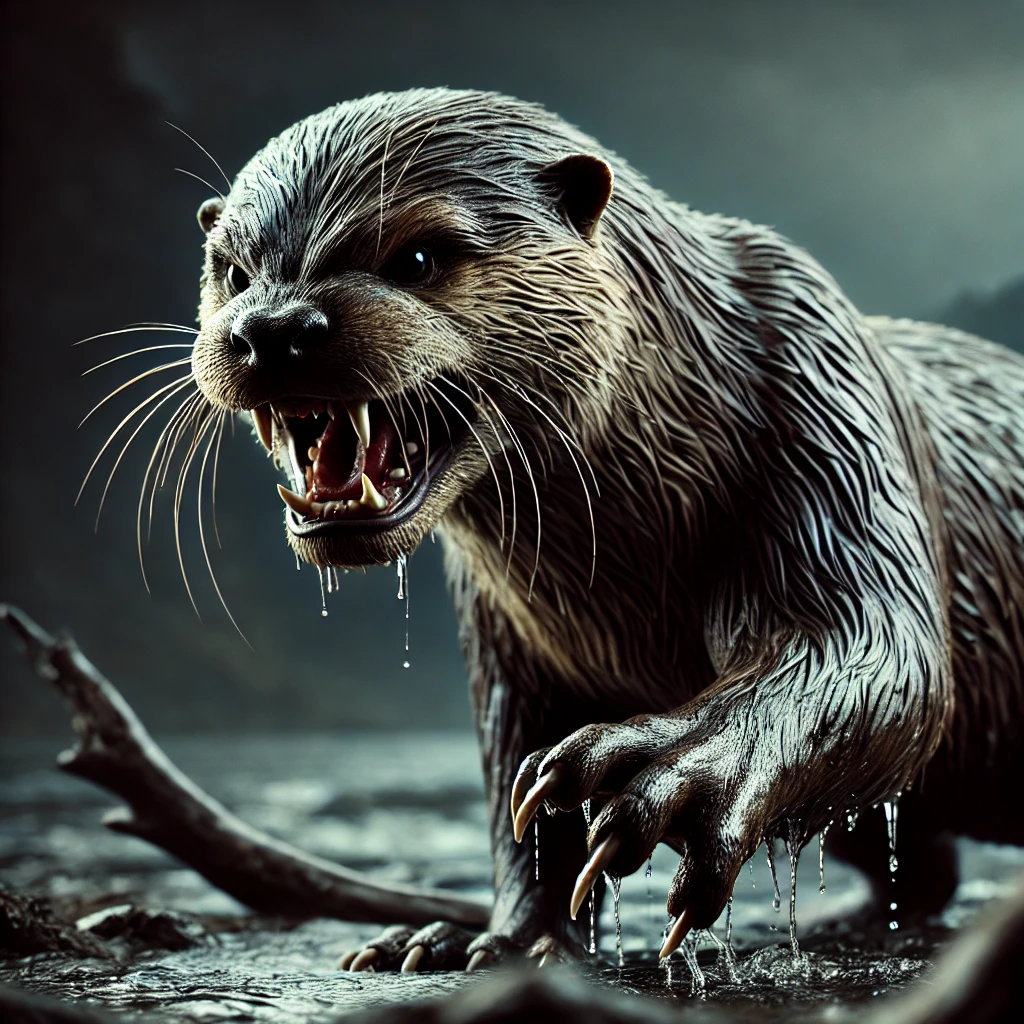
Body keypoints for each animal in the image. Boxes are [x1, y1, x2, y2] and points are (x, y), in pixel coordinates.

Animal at [186, 88, 1024, 971]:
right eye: (234, 271)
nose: (272, 327)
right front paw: (489, 939)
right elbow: (516, 807)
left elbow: (879, 656)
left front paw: (665, 768)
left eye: (416, 258)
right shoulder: (508, 646)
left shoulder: (826, 407)